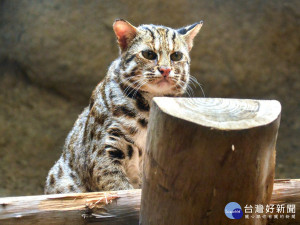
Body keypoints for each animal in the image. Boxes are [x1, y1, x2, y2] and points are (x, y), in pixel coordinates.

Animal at [44, 19, 204, 194]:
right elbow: (119, 188)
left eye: (176, 55)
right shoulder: (103, 152)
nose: (166, 70)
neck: (150, 104)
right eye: (149, 54)